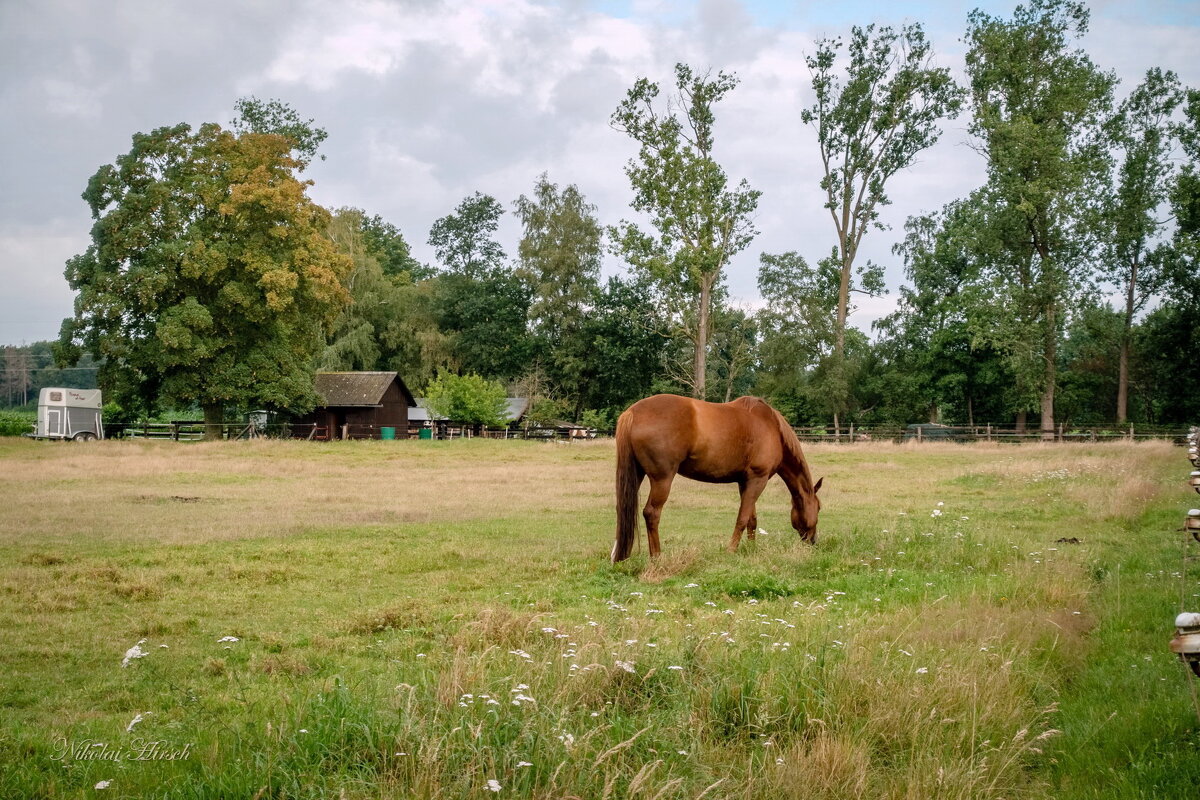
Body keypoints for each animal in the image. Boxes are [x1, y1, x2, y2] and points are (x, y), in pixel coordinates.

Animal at [614, 395, 820, 563]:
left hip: (637, 475)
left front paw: (751, 549)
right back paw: (656, 557)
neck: (772, 427)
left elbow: (751, 519)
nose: (813, 541)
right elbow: (742, 519)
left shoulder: (745, 482)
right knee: (652, 513)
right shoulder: (758, 480)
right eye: (818, 508)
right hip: (662, 479)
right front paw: (731, 551)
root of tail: (632, 413)